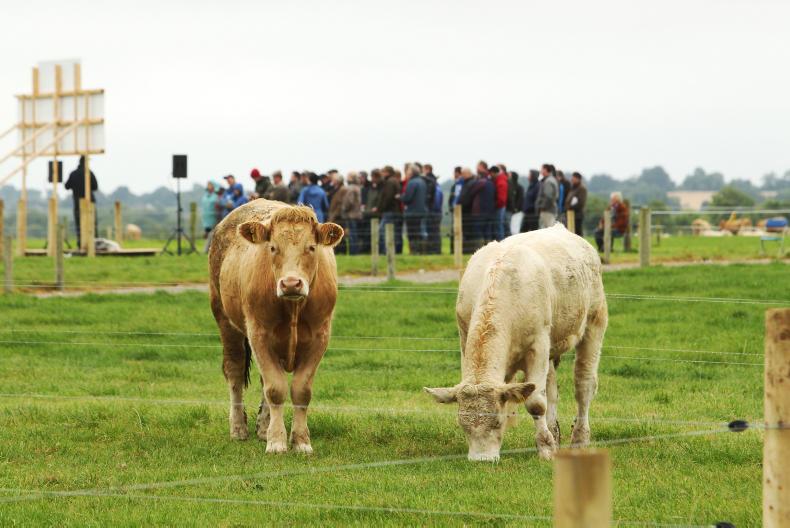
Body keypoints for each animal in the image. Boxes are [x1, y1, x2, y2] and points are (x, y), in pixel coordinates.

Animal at [209, 199, 343, 454]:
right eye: (272, 248)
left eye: (311, 247)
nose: (291, 283)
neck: (293, 307)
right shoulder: (258, 334)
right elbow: (275, 389)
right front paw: (277, 441)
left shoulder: (320, 336)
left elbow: (300, 390)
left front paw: (301, 441)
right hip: (225, 320)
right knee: (235, 372)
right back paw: (238, 428)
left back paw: (263, 428)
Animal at [425, 224, 607, 461]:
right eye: (462, 425)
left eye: (497, 421)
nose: (481, 460)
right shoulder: (465, 339)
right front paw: (549, 442)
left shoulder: (538, 346)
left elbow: (536, 403)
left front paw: (545, 447)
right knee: (552, 391)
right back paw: (555, 433)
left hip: (595, 321)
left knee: (584, 386)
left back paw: (579, 440)